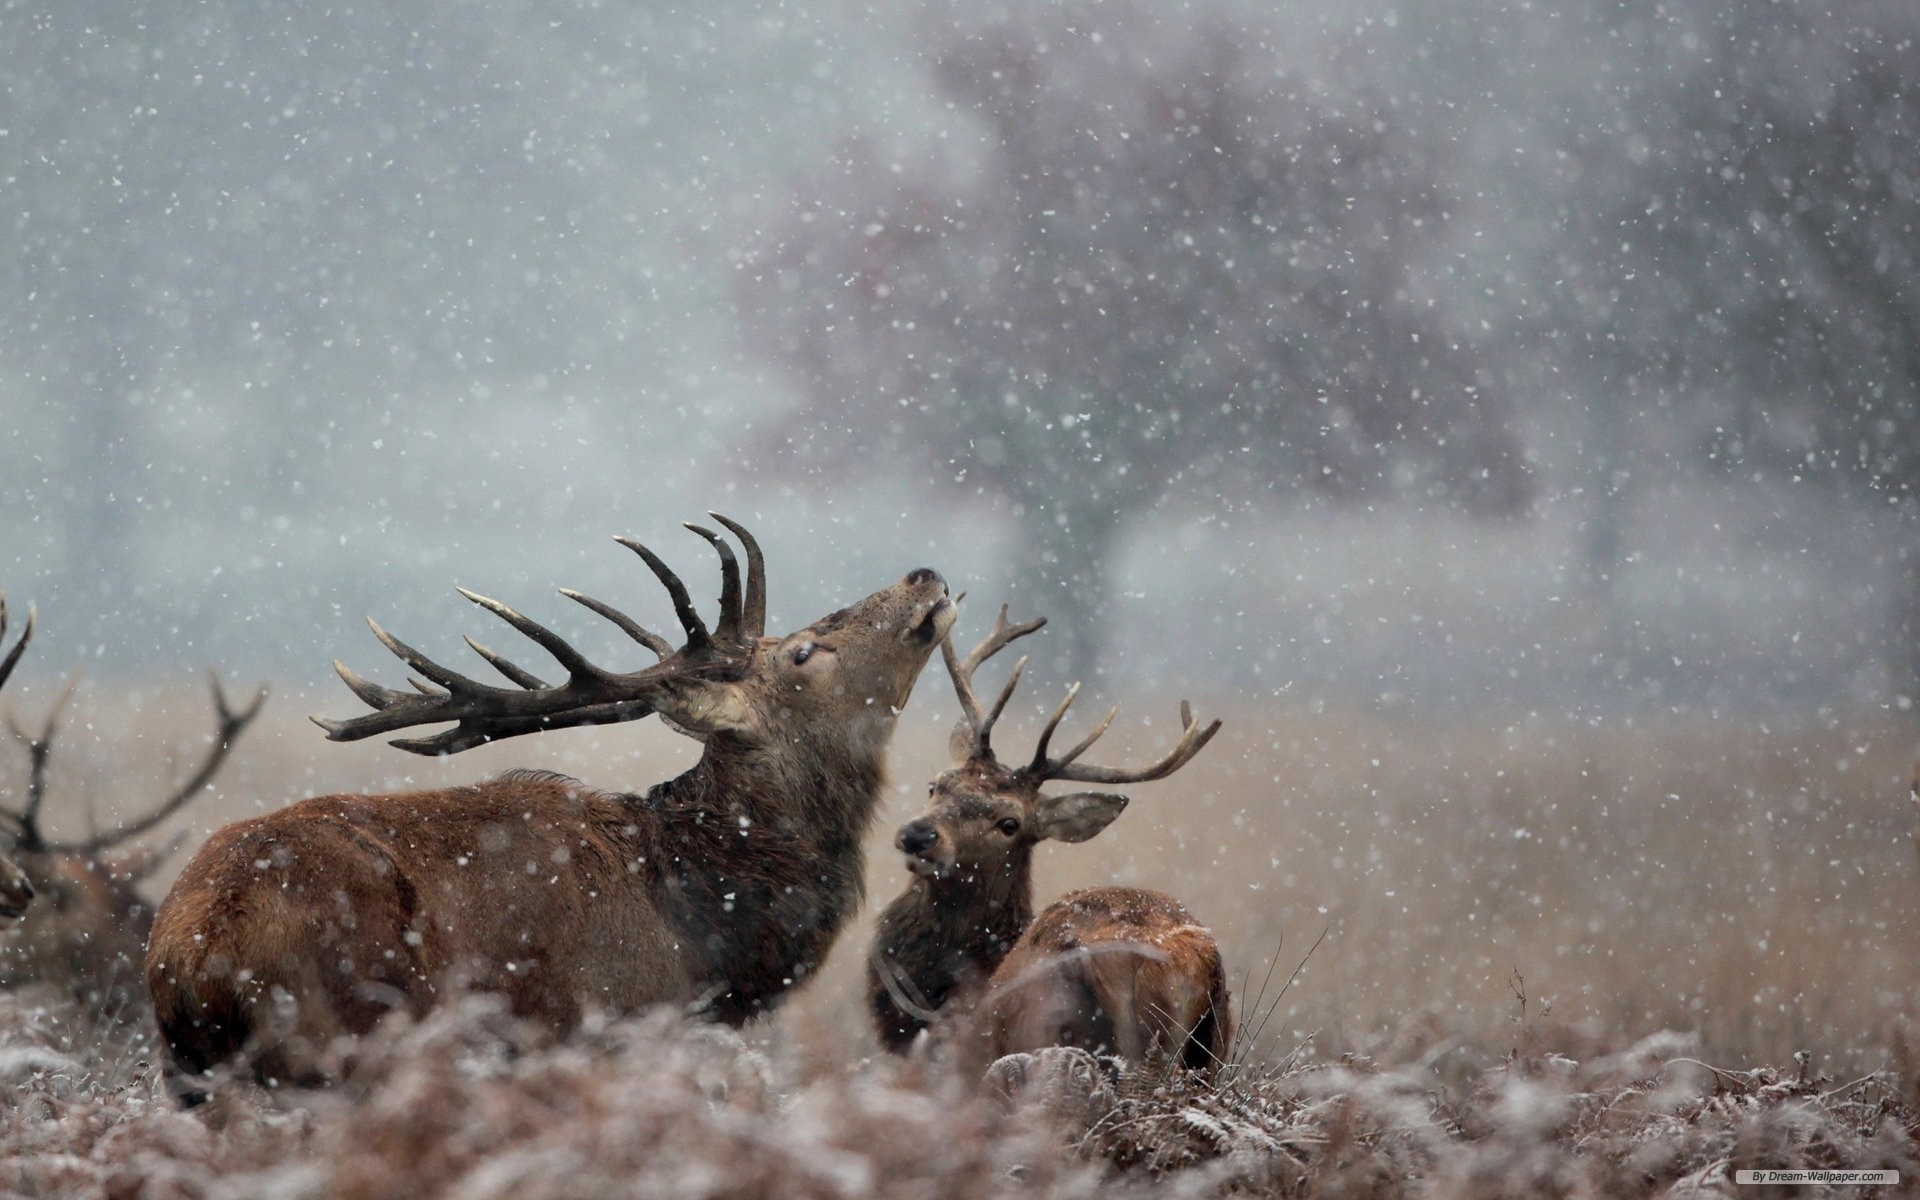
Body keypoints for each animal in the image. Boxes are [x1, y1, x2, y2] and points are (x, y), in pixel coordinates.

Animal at [147, 515, 955, 1095]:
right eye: (804, 652)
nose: (924, 575)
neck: (703, 945)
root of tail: (193, 952)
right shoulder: (606, 1027)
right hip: (340, 1039)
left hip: (191, 1078)